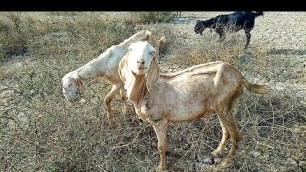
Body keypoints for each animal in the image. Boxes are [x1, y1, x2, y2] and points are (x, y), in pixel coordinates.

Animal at [118, 40, 266, 171]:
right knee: (226, 131)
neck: (145, 92)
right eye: (131, 49)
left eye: (152, 52)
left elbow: (161, 146)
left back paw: (225, 163)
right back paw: (216, 152)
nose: (140, 62)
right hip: (225, 107)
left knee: (236, 136)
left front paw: (161, 167)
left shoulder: (159, 120)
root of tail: (241, 78)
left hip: (224, 105)